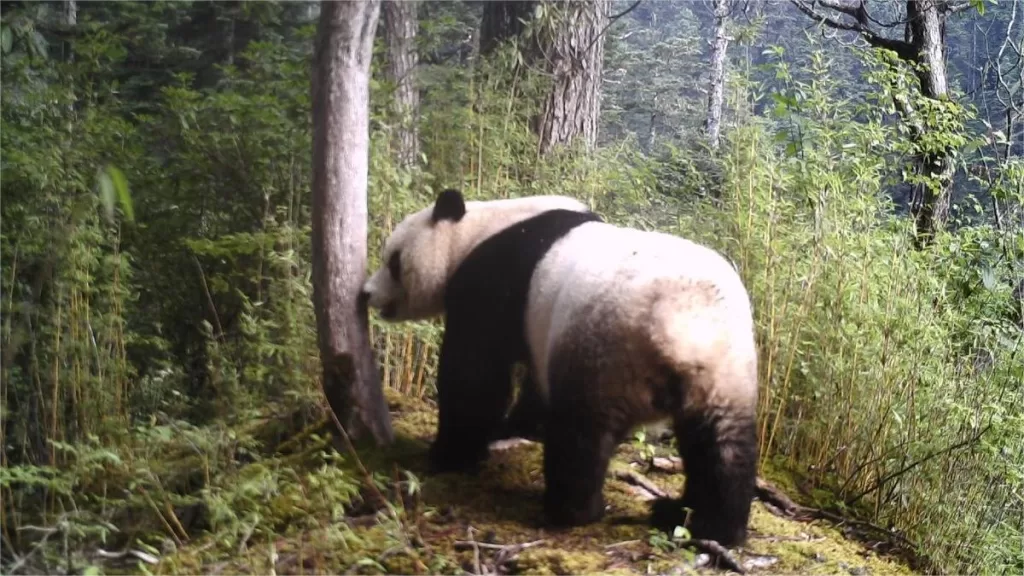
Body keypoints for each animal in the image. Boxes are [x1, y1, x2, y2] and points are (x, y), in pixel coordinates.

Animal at [361, 188, 759, 547]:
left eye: (393, 260)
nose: (366, 293)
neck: (476, 230)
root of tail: (680, 328)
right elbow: (530, 384)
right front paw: (513, 428)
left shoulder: (495, 282)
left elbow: (474, 375)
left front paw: (448, 454)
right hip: (725, 372)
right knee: (722, 446)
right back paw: (706, 524)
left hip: (603, 350)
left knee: (581, 434)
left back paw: (573, 510)